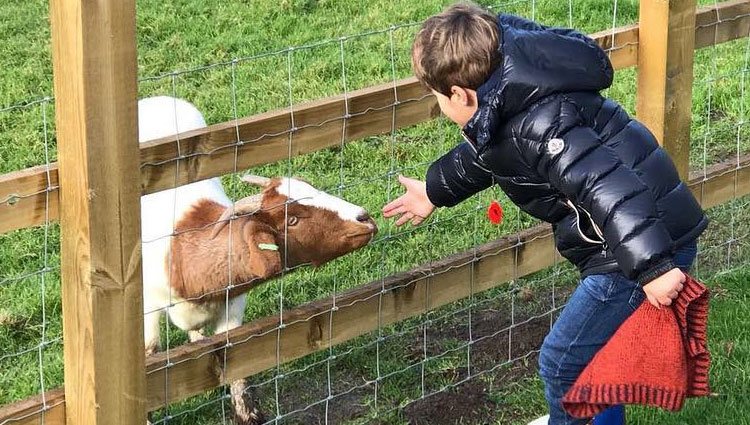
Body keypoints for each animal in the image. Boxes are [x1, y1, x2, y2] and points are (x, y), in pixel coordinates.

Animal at [138, 96, 378, 424]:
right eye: (291, 220)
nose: (364, 218)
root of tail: (157, 98)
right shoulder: (147, 305)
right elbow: (150, 355)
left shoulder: (234, 305)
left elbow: (236, 366)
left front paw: (248, 413)